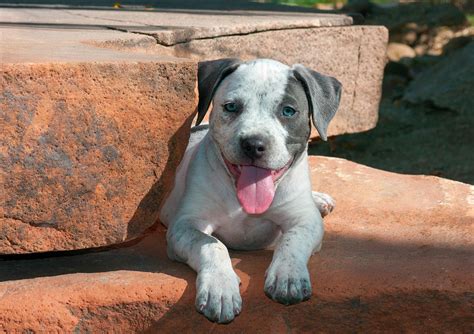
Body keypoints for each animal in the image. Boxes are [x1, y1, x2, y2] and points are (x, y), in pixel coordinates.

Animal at [159, 58, 340, 324]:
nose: (254, 144)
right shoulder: (184, 226)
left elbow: (292, 240)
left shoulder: (306, 221)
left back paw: (318, 200)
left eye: (288, 111)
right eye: (231, 107)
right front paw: (219, 290)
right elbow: (212, 244)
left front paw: (288, 276)